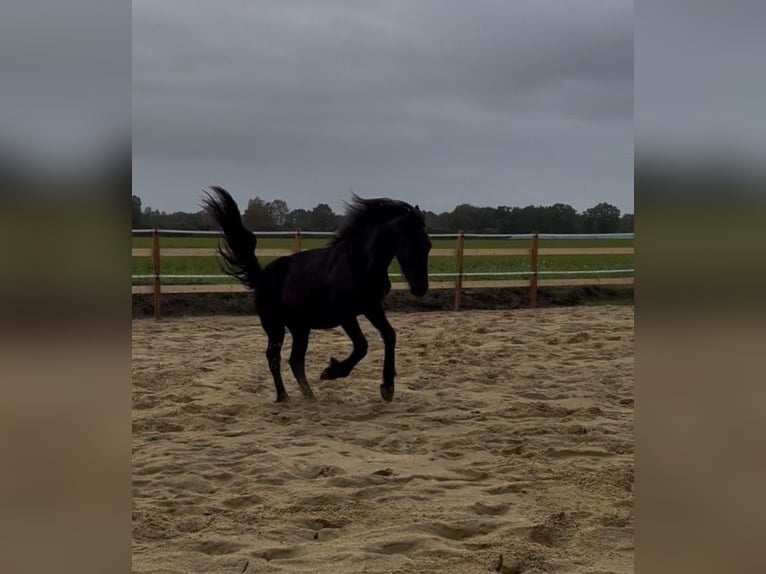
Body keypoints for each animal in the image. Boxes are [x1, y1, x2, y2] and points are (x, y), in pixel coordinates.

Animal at [202, 186, 431, 403]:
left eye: (428, 245)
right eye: (407, 240)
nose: (420, 287)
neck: (358, 263)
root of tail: (262, 277)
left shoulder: (372, 307)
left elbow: (389, 335)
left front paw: (388, 388)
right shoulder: (346, 314)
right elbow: (362, 345)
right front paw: (331, 372)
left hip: (300, 328)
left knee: (295, 360)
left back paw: (308, 396)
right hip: (274, 326)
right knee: (274, 357)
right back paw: (284, 396)